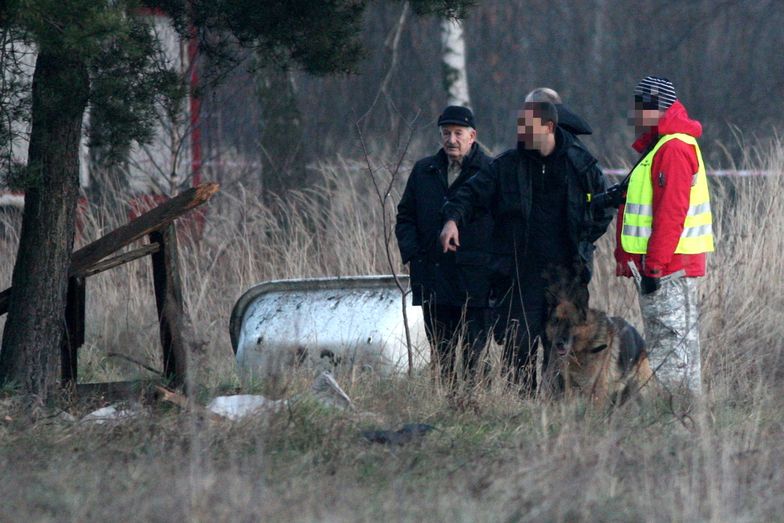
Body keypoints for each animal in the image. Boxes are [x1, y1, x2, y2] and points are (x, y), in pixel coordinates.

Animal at [544, 276, 656, 408]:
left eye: (571, 323)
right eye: (556, 321)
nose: (558, 343)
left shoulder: (597, 390)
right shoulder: (570, 387)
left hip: (642, 390)